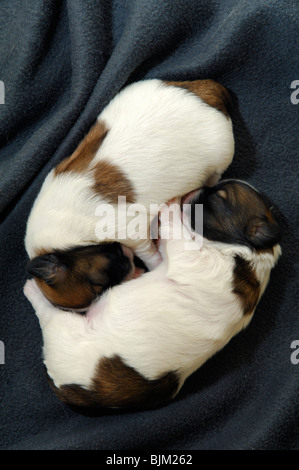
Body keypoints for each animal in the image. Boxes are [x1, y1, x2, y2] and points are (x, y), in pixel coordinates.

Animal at [23, 180, 282, 408]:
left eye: (219, 197)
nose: (199, 187)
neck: (244, 253)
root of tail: (68, 390)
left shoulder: (190, 257)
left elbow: (176, 232)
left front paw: (170, 207)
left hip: (65, 330)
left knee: (46, 313)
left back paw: (31, 289)